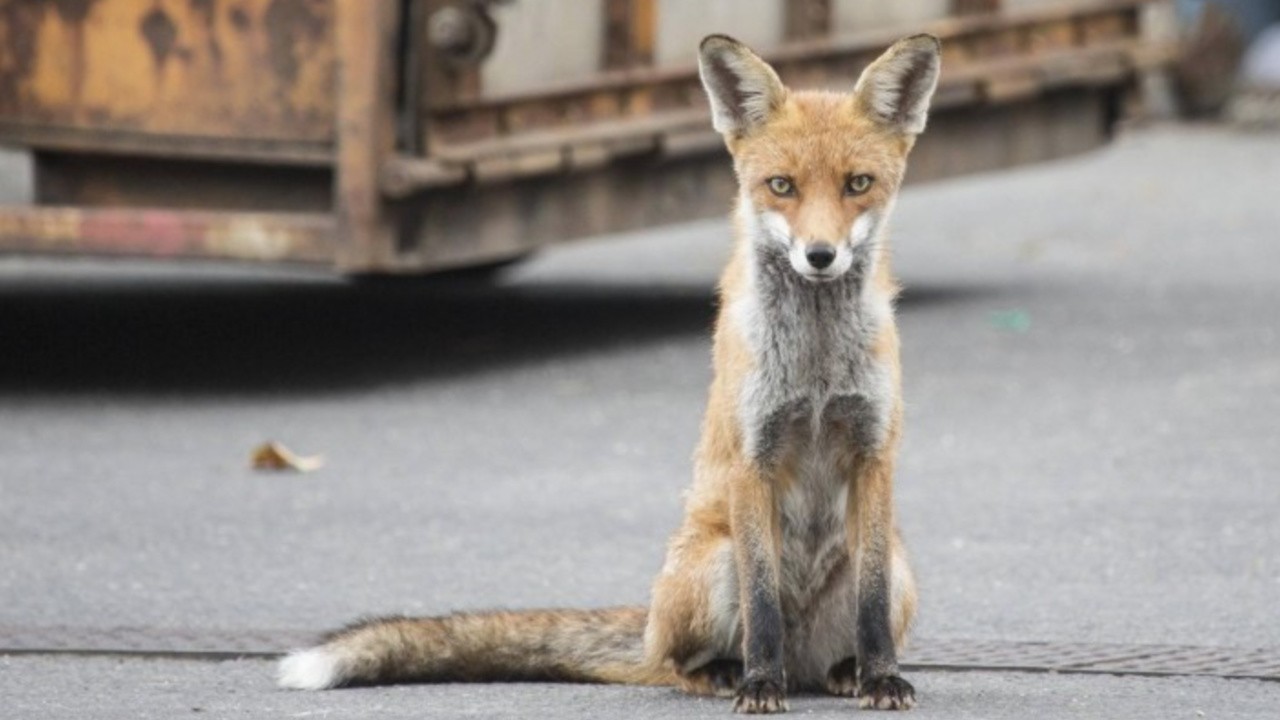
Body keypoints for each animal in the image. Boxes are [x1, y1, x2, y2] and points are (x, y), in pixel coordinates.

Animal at [277, 33, 942, 712]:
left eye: (858, 184)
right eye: (781, 185)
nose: (820, 256)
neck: (815, 370)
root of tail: (801, 659)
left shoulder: (873, 451)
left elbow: (869, 601)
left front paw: (881, 677)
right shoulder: (752, 457)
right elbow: (760, 600)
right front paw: (759, 686)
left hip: (898, 571)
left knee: (844, 627)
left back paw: (846, 670)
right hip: (713, 563)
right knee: (680, 659)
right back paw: (731, 671)